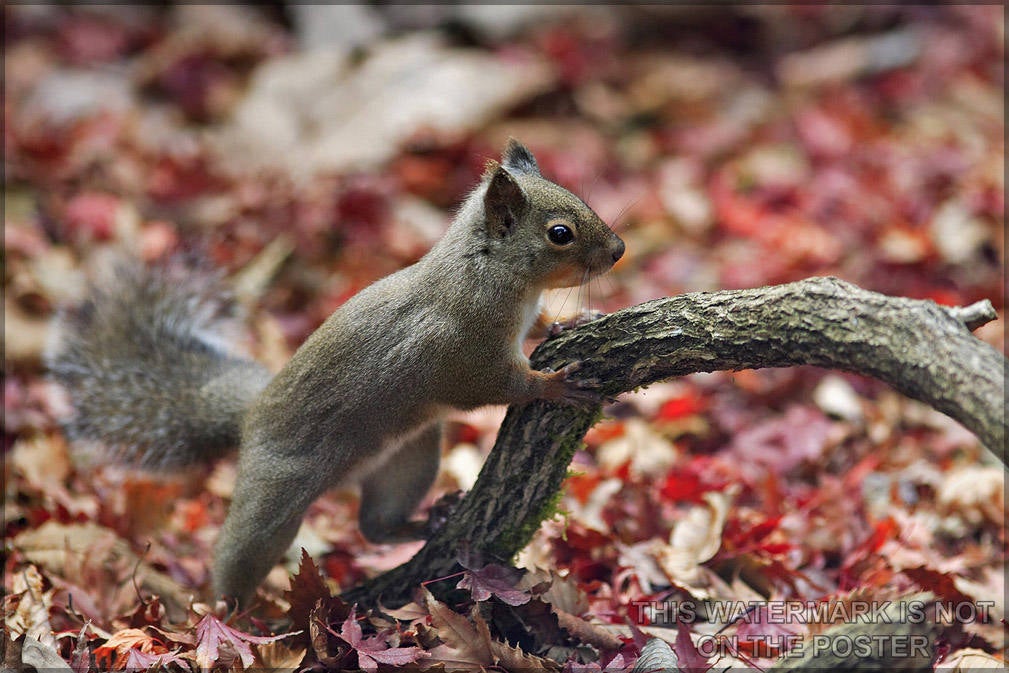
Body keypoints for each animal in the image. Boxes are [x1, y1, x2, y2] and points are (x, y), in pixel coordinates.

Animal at [47, 139, 621, 609]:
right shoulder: (463, 351)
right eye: (560, 234)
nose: (619, 251)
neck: (490, 272)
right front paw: (554, 385)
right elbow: (493, 386)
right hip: (274, 496)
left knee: (375, 525)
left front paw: (574, 319)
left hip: (407, 460)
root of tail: (250, 417)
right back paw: (229, 616)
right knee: (241, 551)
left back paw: (427, 520)